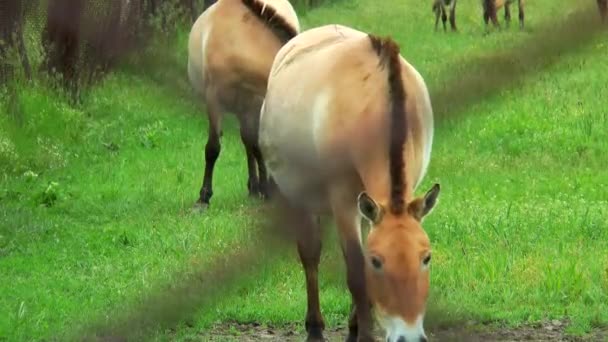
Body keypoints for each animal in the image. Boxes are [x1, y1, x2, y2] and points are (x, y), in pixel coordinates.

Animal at [185, 0, 300, 210]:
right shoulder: (214, 99)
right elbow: (213, 148)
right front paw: (203, 197)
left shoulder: (257, 102)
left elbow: (259, 146)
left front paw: (266, 189)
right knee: (248, 142)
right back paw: (254, 187)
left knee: (250, 142)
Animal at [258, 24, 440, 342]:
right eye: (377, 262)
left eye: (426, 258)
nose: (408, 337)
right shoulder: (343, 200)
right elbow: (356, 272)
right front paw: (364, 334)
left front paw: (357, 328)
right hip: (298, 197)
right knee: (310, 255)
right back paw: (315, 328)